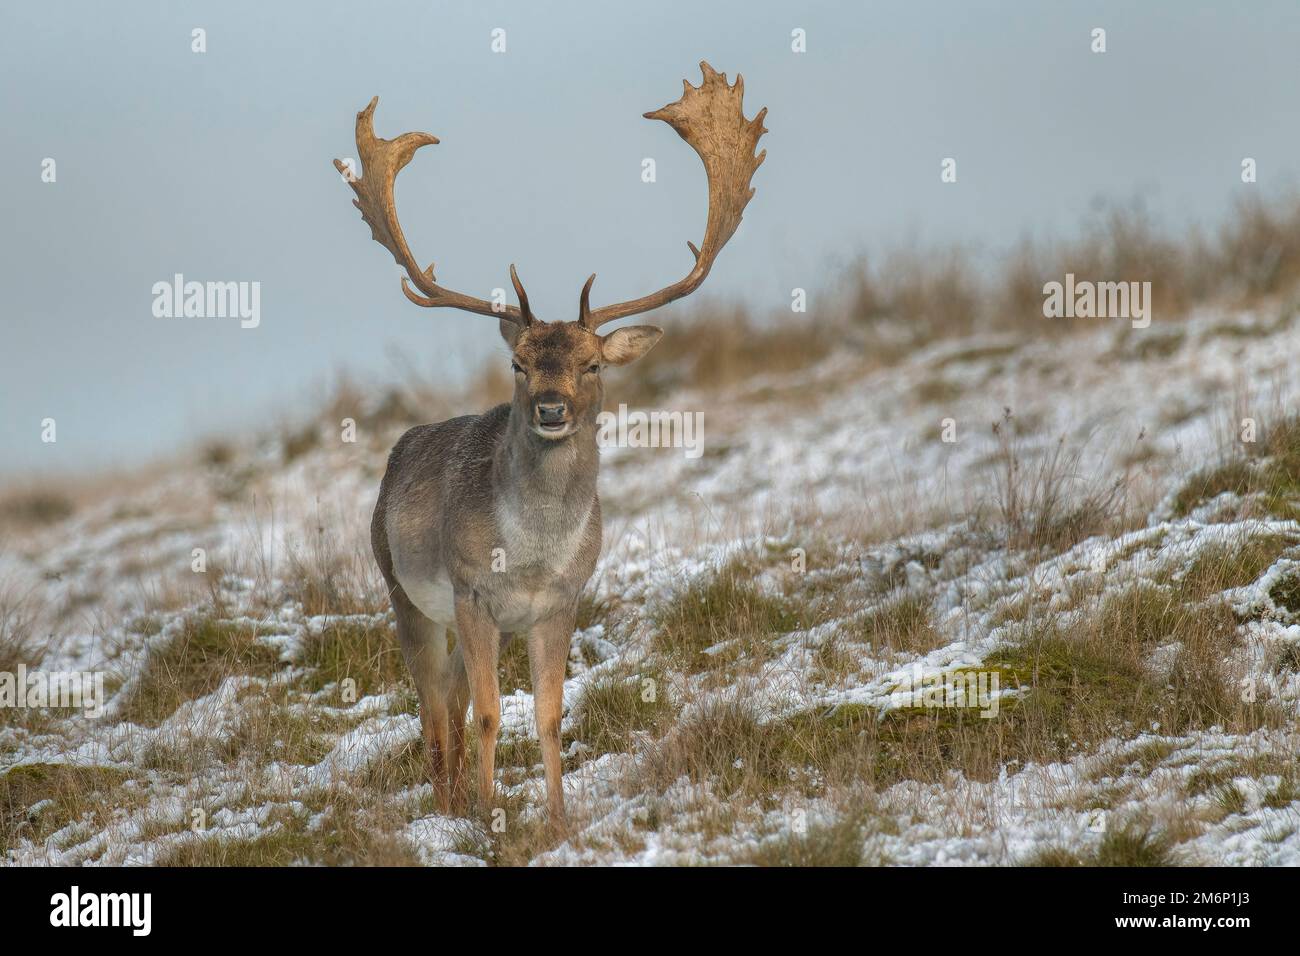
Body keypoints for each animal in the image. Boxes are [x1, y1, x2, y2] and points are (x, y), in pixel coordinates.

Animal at [334, 62, 767, 827]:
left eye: (592, 363)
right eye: (518, 363)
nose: (552, 407)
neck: (532, 553)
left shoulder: (561, 602)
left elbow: (548, 714)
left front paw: (559, 816)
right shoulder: (472, 590)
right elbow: (487, 715)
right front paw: (488, 815)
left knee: (448, 705)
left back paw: (454, 797)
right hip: (401, 587)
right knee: (434, 712)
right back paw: (449, 804)